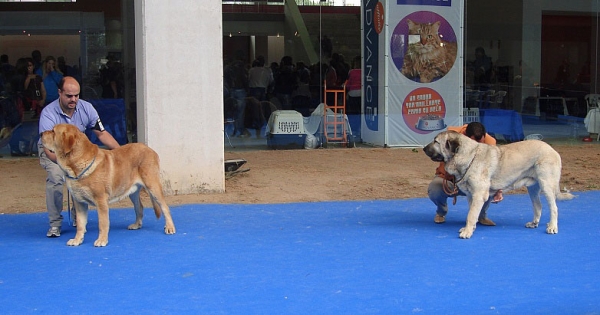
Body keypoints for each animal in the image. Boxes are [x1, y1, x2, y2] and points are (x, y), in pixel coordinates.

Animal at [39, 123, 175, 247]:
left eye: (53, 131)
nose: (40, 133)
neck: (75, 166)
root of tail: (150, 149)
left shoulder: (101, 200)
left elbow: (103, 223)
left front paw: (102, 240)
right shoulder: (79, 203)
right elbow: (80, 225)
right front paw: (77, 240)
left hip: (153, 186)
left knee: (165, 207)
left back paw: (169, 227)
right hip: (132, 191)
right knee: (139, 207)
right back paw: (136, 224)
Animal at [424, 131, 576, 239]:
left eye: (436, 141)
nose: (424, 148)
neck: (469, 156)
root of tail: (552, 149)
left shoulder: (478, 195)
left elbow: (471, 215)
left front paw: (467, 232)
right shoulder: (471, 196)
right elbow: (471, 213)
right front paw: (470, 228)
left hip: (547, 185)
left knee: (554, 208)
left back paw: (552, 227)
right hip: (532, 188)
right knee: (538, 206)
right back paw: (534, 223)